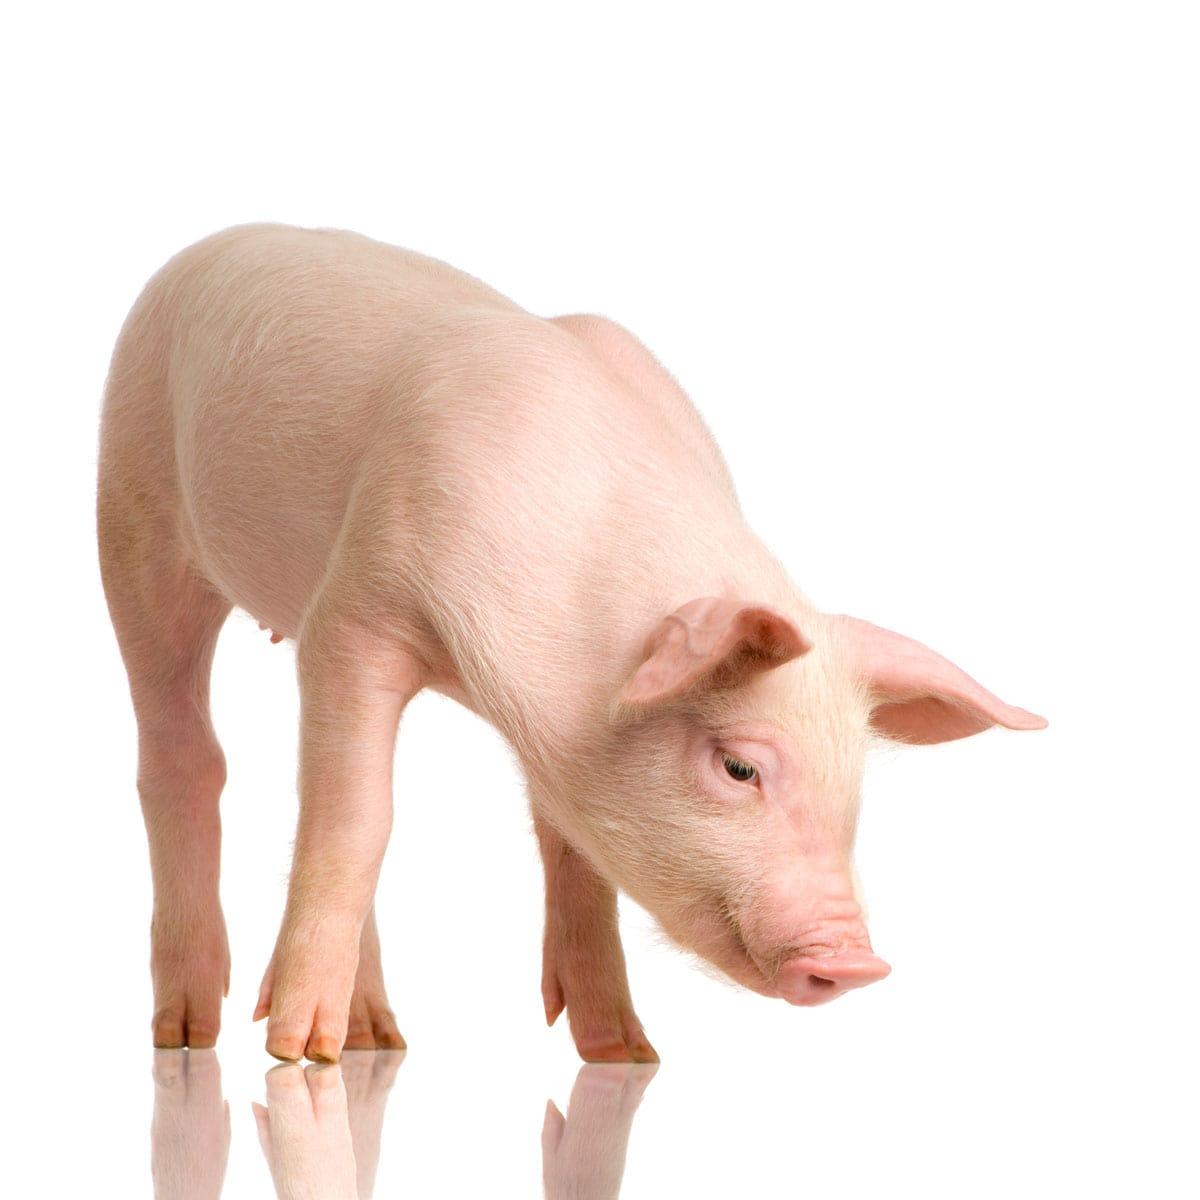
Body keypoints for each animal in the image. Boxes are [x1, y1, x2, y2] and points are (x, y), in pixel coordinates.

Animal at [98, 224, 1046, 1064]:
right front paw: (298, 1056)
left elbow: (572, 849)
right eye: (739, 766)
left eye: (855, 787)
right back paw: (195, 1033)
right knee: (183, 752)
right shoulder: (357, 613)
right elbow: (358, 820)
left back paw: (379, 1038)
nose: (857, 959)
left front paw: (624, 1053)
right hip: (131, 511)